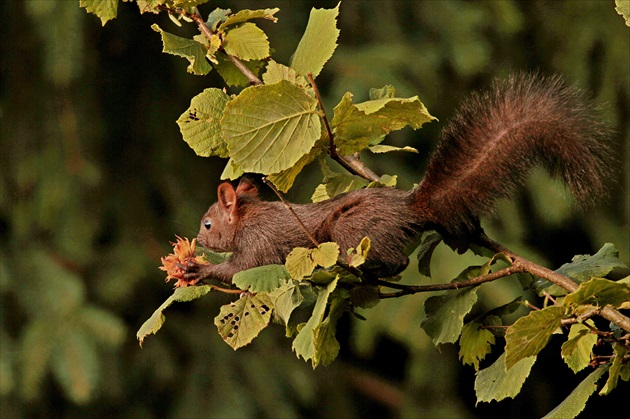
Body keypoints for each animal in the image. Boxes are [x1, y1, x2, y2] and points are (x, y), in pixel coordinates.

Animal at [185, 74, 616, 286]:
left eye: (207, 224)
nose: (199, 242)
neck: (248, 217)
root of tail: (411, 208)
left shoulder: (258, 245)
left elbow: (240, 270)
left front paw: (199, 270)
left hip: (351, 230)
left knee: (399, 260)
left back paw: (369, 271)